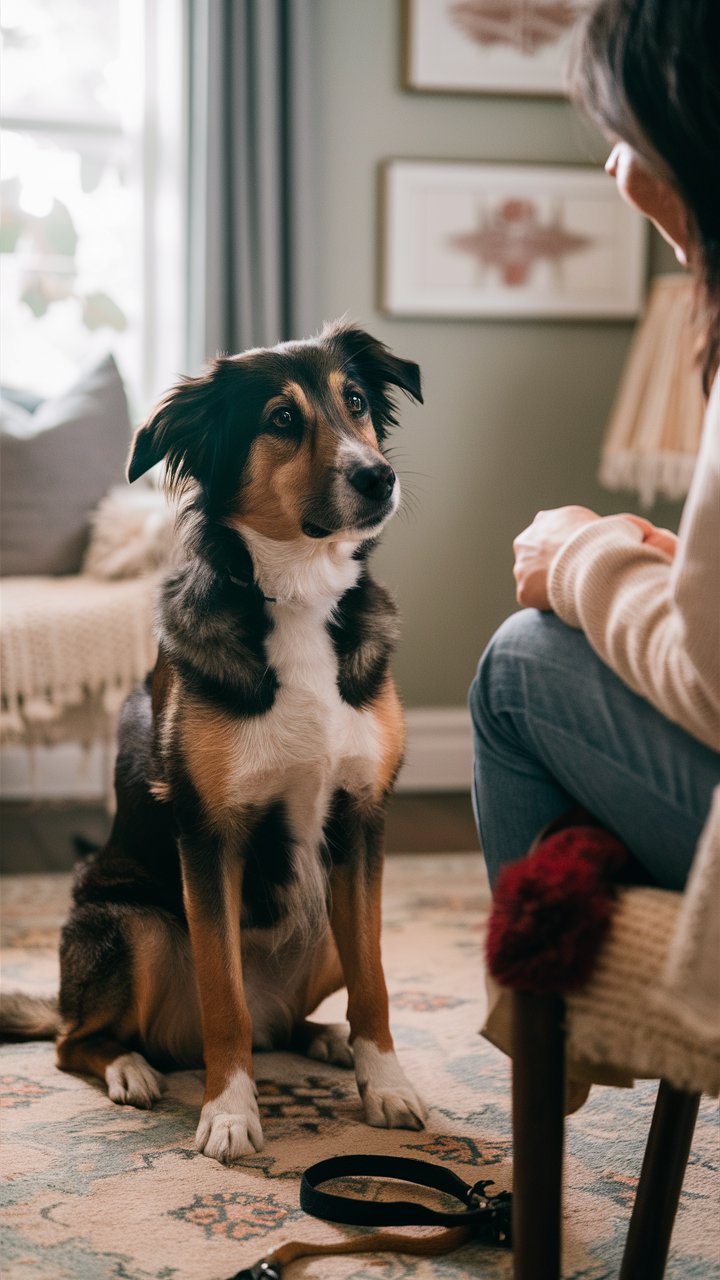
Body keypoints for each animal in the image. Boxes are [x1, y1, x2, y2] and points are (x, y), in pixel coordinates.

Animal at [0, 320, 422, 1162]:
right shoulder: (209, 834)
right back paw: (132, 1069)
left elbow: (377, 984)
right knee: (76, 1040)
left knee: (297, 1015)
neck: (297, 595)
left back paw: (325, 1040)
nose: (379, 479)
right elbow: (224, 997)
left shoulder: (361, 821)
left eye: (357, 401)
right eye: (282, 419)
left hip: (327, 910)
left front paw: (385, 1085)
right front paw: (229, 1114)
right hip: (134, 923)